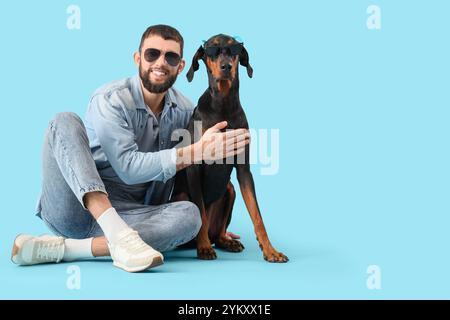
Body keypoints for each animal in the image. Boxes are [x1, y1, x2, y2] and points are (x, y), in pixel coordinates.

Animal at [172, 33, 288, 262]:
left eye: (234, 49)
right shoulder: (194, 167)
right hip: (181, 196)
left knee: (218, 232)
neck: (224, 104)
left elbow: (257, 215)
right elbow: (200, 211)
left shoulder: (244, 169)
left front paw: (270, 250)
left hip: (229, 190)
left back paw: (227, 241)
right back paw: (203, 243)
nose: (226, 66)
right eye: (212, 50)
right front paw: (204, 248)